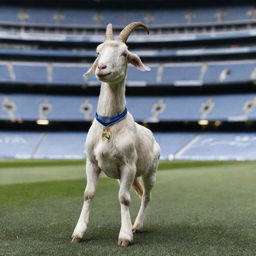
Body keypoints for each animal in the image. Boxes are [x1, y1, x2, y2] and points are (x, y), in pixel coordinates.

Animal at [71, 22, 160, 248]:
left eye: (124, 53)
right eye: (98, 51)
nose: (101, 68)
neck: (108, 125)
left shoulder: (128, 165)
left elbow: (124, 199)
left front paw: (125, 236)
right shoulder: (92, 162)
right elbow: (88, 194)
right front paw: (78, 233)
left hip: (150, 170)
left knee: (146, 196)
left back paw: (137, 225)